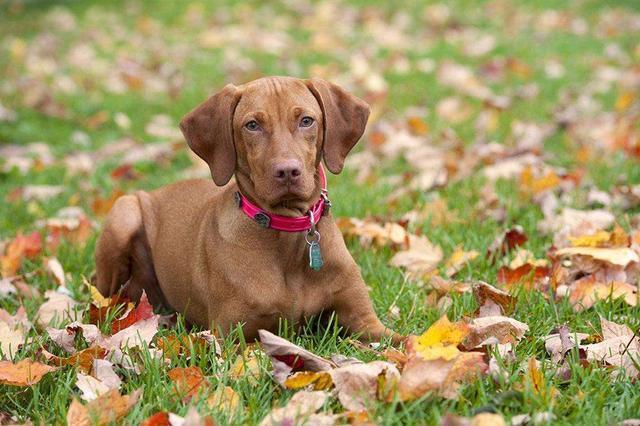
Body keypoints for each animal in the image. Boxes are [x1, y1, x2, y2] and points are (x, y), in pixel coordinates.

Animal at [95, 75, 400, 342]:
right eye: (252, 125)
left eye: (306, 121)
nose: (287, 171)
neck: (287, 235)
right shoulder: (230, 336)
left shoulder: (365, 322)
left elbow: (404, 341)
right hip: (124, 212)